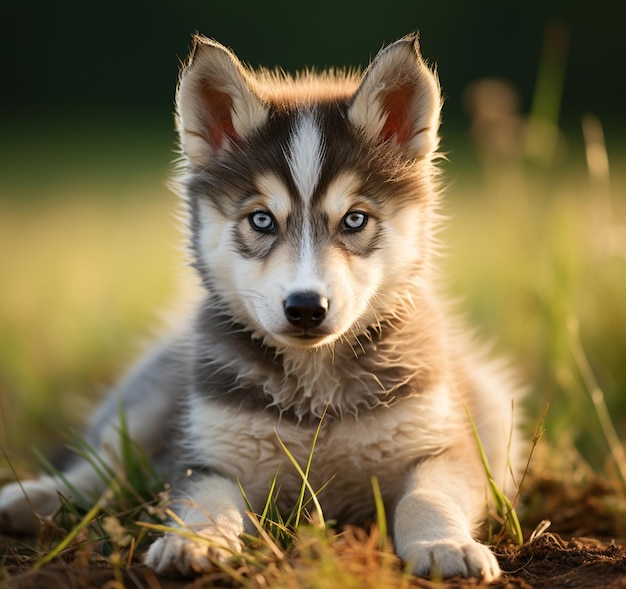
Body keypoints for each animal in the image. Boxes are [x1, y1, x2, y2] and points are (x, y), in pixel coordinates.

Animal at [0, 34, 520, 580]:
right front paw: (193, 542)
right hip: (150, 402)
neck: (315, 391)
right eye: (262, 220)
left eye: (355, 219)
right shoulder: (208, 457)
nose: (306, 307)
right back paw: (33, 500)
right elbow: (204, 501)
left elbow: (428, 497)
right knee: (104, 466)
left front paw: (444, 544)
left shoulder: (444, 446)